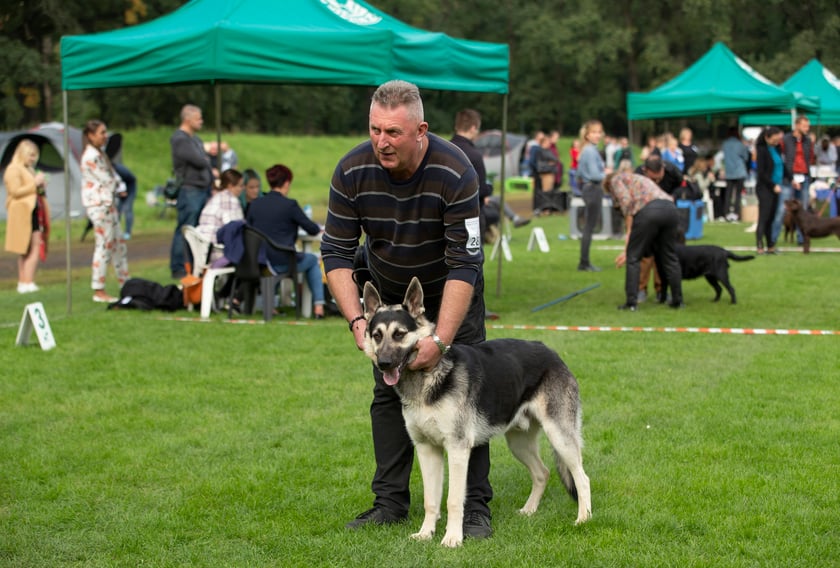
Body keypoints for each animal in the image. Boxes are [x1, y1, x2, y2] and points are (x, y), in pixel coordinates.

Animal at [360, 278, 592, 548]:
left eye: (399, 334)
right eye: (377, 335)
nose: (383, 364)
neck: (427, 379)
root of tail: (552, 354)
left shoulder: (458, 450)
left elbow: (452, 500)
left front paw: (452, 538)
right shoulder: (427, 450)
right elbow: (431, 500)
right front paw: (426, 533)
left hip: (560, 437)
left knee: (582, 478)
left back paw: (583, 519)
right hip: (519, 444)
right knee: (542, 473)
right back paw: (530, 510)